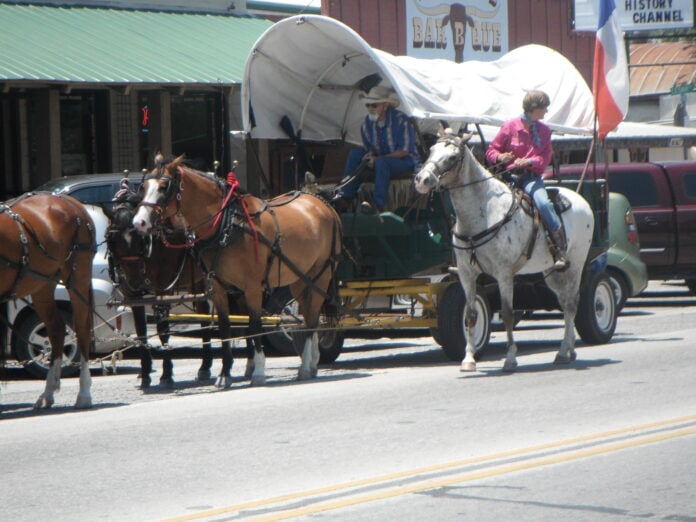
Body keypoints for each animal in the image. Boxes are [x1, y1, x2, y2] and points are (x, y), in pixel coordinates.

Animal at [0, 191, 95, 406]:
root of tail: (72, 202)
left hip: (78, 278)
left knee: (82, 329)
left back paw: (84, 393)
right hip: (42, 285)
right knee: (57, 329)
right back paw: (48, 392)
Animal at [104, 185, 215, 388]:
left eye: (140, 239)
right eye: (113, 240)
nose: (134, 281)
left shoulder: (164, 290)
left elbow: (163, 329)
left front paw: (166, 374)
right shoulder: (133, 296)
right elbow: (141, 332)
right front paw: (145, 373)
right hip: (198, 281)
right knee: (203, 314)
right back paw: (205, 365)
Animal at [131, 156, 342, 384]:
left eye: (164, 187)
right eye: (143, 188)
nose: (139, 222)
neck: (227, 226)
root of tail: (322, 203)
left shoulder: (252, 288)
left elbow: (255, 324)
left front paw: (258, 371)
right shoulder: (219, 288)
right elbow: (225, 327)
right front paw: (225, 374)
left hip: (322, 274)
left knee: (313, 316)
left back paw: (306, 366)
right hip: (300, 279)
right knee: (307, 313)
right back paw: (311, 362)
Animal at [414, 132, 592, 372]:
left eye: (452, 157)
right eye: (431, 150)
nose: (422, 180)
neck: (481, 215)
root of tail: (580, 198)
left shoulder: (504, 273)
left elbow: (507, 314)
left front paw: (510, 358)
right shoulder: (466, 274)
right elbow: (470, 315)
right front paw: (468, 359)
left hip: (576, 264)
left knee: (572, 304)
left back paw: (564, 351)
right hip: (552, 272)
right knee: (565, 303)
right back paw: (568, 349)